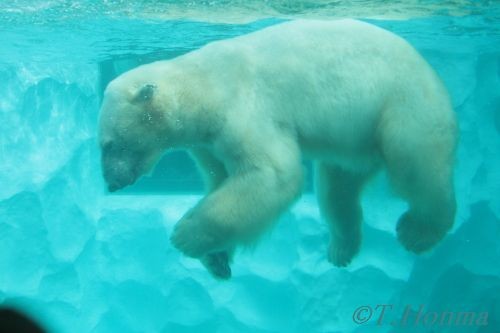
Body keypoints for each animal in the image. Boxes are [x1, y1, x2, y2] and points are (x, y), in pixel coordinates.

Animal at [97, 18, 458, 278]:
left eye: (109, 144)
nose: (112, 183)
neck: (203, 87)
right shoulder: (208, 143)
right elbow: (219, 181)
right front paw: (217, 261)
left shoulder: (242, 108)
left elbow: (270, 174)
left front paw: (184, 235)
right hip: (353, 139)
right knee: (337, 189)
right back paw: (341, 249)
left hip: (401, 102)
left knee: (415, 166)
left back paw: (418, 231)